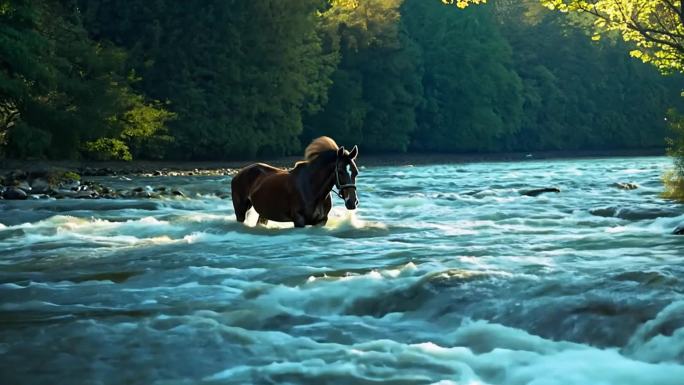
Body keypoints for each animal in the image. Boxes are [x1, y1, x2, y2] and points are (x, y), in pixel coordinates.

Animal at [231, 136, 360, 226]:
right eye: (340, 171)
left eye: (355, 172)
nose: (352, 202)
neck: (311, 189)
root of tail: (237, 175)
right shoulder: (298, 220)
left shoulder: (321, 221)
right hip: (240, 211)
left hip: (264, 213)